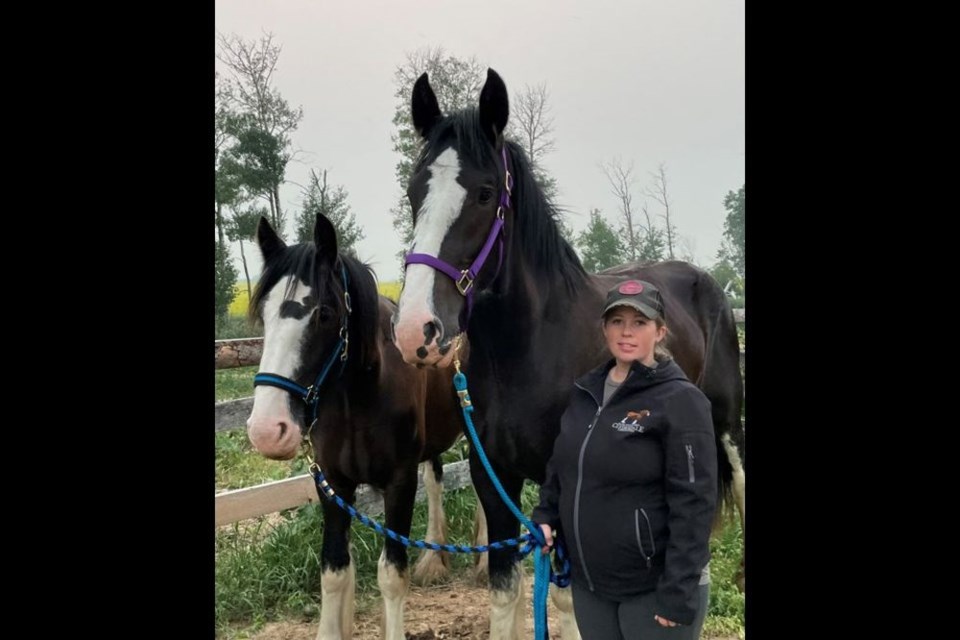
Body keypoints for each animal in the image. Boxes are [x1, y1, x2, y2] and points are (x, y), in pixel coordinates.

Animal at [248, 214, 464, 640]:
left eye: (325, 313)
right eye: (264, 313)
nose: (267, 430)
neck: (360, 399)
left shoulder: (399, 483)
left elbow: (392, 575)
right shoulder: (333, 483)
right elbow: (334, 571)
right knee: (436, 479)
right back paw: (433, 559)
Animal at [394, 70, 748, 640]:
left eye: (485, 193)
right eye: (414, 191)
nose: (415, 330)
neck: (531, 351)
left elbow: (565, 599)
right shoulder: (494, 476)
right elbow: (506, 591)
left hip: (727, 422)